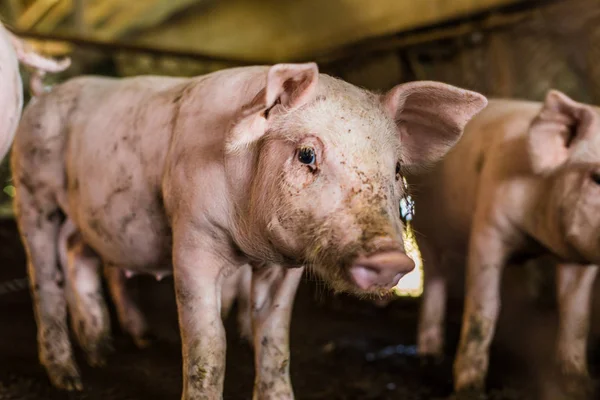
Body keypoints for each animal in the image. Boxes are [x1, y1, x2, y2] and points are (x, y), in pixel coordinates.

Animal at [7, 60, 486, 400]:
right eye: (307, 154)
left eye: (398, 168)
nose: (389, 257)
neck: (250, 246)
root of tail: (43, 98)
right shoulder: (192, 237)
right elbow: (208, 344)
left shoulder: (283, 268)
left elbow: (274, 340)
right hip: (33, 192)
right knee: (43, 278)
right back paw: (70, 379)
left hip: (84, 216)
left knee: (78, 255)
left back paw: (105, 353)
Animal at [410, 90, 600, 400]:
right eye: (597, 177)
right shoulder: (489, 227)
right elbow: (483, 307)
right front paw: (469, 389)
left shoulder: (578, 255)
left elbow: (577, 314)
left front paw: (579, 385)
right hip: (424, 226)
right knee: (435, 275)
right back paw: (429, 355)